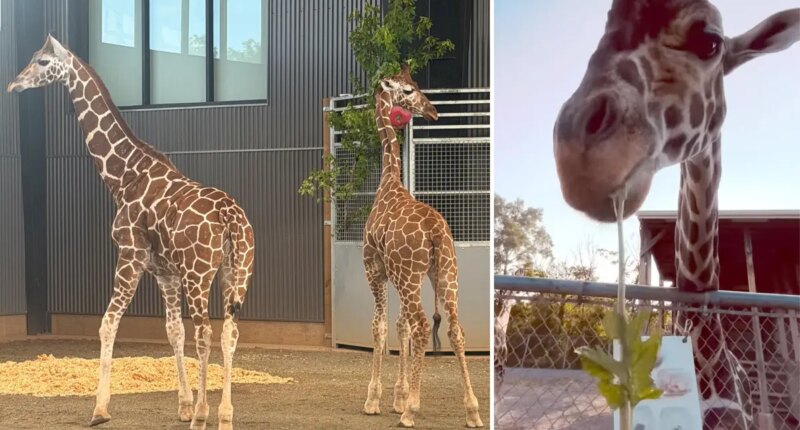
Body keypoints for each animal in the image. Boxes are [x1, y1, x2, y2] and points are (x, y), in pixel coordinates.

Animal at [7, 35, 255, 430]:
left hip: (200, 274)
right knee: (228, 332)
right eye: (32, 57)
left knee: (205, 331)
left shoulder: (130, 255)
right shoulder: (165, 272)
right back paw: (225, 415)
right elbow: (173, 331)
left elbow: (108, 323)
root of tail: (230, 216)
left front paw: (99, 409)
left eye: (43, 62)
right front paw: (184, 405)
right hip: (237, 271)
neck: (124, 176)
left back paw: (205, 414)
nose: (14, 84)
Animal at [360, 65, 483, 428]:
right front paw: (398, 396)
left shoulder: (375, 269)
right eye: (408, 90)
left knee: (424, 325)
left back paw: (412, 410)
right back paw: (472, 410)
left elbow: (381, 327)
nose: (433, 110)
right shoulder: (395, 275)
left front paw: (376, 399)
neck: (388, 182)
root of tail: (435, 233)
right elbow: (400, 326)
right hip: (445, 273)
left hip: (411, 276)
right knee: (454, 328)